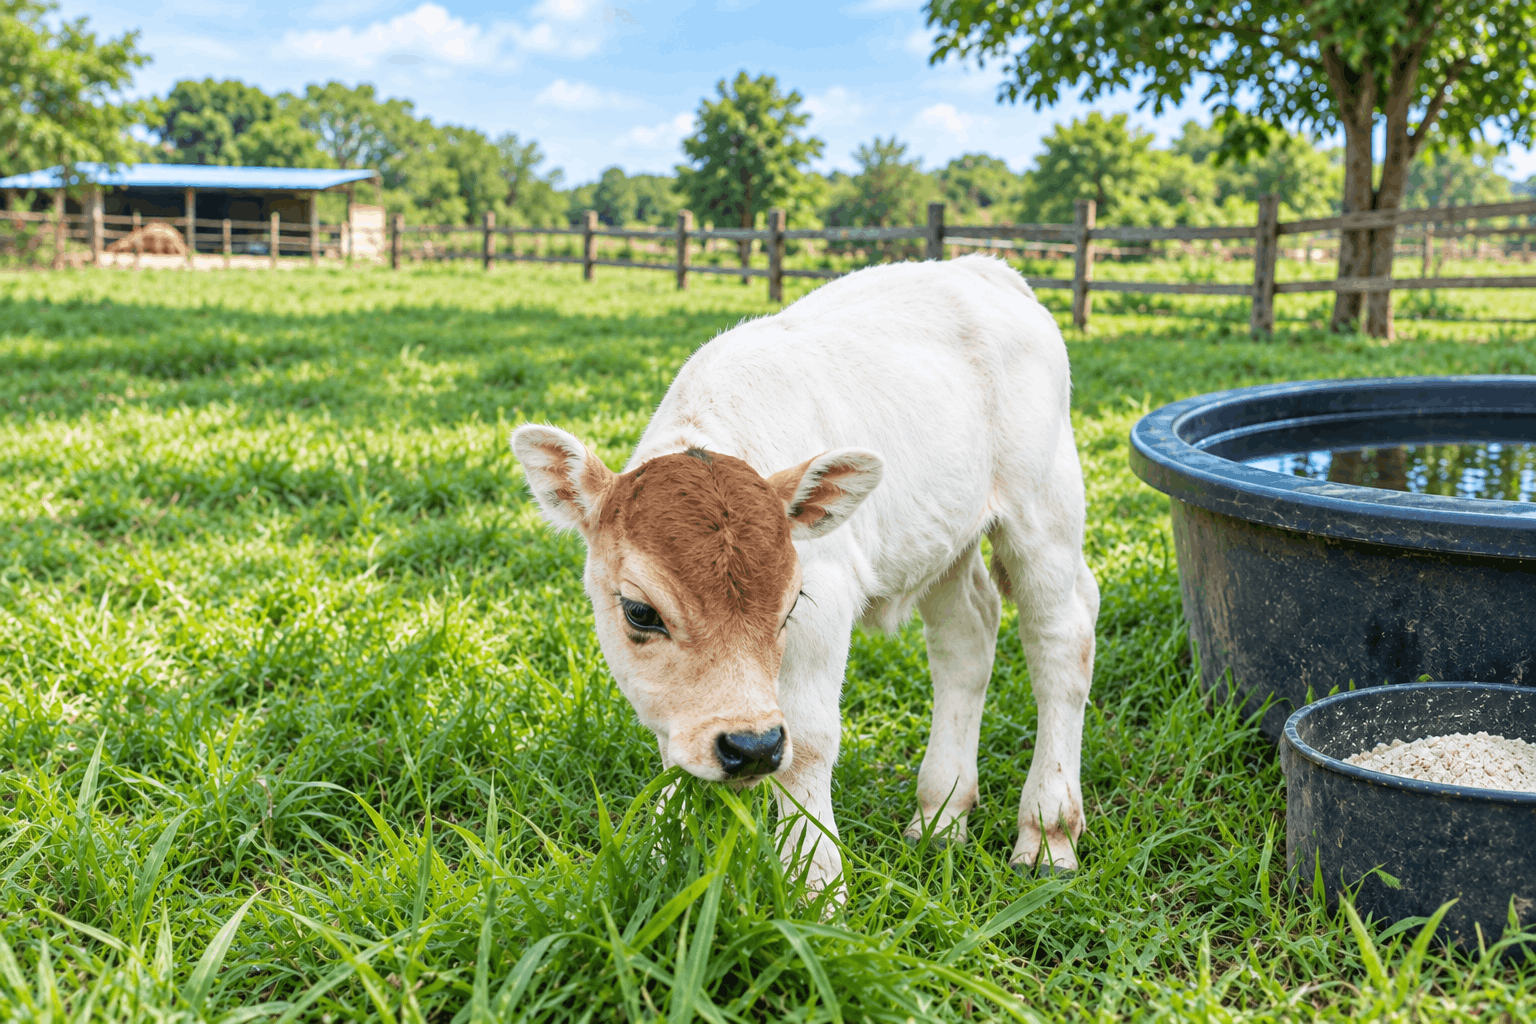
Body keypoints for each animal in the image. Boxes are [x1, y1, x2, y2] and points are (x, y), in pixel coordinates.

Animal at [513, 255, 1099, 895]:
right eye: (640, 612)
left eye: (791, 603)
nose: (752, 747)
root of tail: (986, 268)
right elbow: (673, 744)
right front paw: (661, 857)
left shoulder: (827, 602)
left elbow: (811, 743)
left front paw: (817, 883)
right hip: (947, 538)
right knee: (967, 636)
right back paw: (940, 816)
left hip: (1044, 511)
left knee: (1062, 641)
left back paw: (1047, 835)